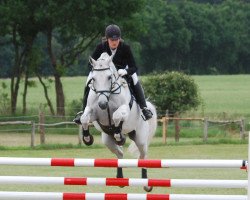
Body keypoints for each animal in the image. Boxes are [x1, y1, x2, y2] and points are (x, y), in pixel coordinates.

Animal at [80, 52, 156, 192]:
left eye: (109, 77)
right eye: (93, 79)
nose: (102, 104)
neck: (108, 96)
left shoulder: (124, 110)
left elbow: (116, 116)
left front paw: (118, 133)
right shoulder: (93, 113)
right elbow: (84, 118)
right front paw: (87, 138)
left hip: (140, 139)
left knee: (143, 157)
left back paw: (146, 183)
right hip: (107, 140)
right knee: (120, 153)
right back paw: (120, 178)